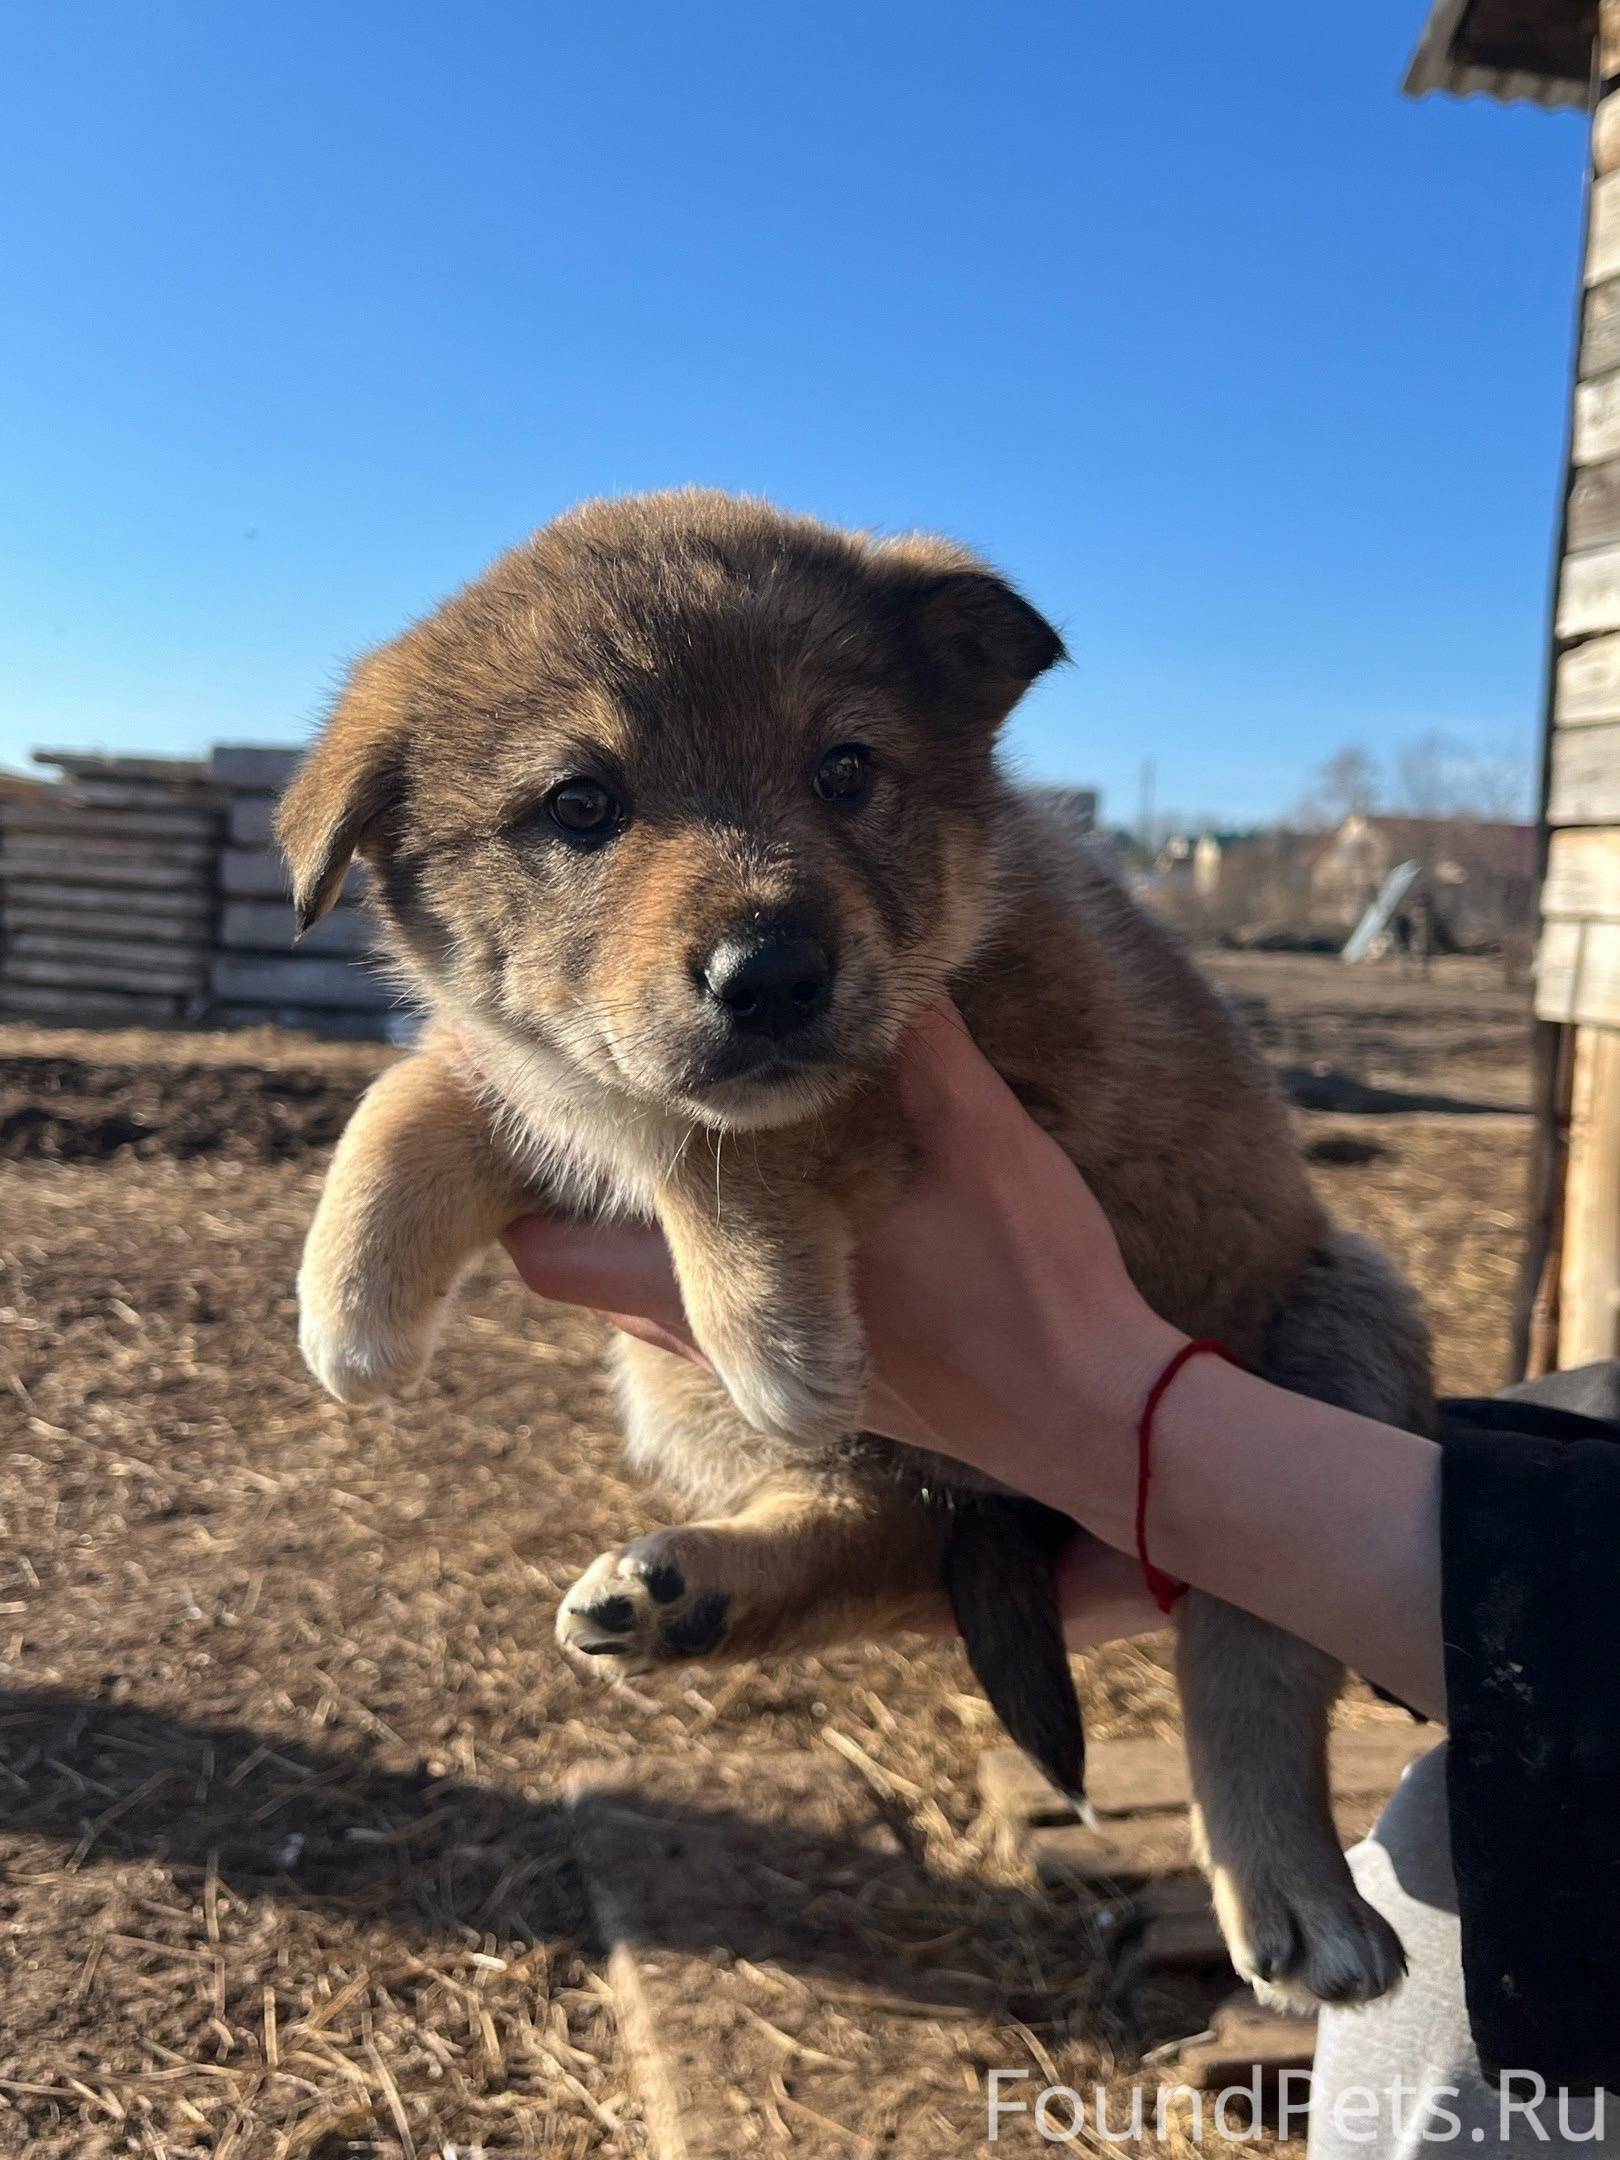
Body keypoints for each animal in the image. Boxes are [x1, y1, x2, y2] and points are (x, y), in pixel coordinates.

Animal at [282, 490, 1434, 2004]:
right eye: (581, 805)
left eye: (844, 770)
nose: (771, 974)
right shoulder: (551, 1086)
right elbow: (431, 1082)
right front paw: (348, 1297)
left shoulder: (1000, 1055)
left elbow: (743, 1131)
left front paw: (770, 1323)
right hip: (679, 1398)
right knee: (890, 1534)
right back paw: (686, 1594)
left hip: (1340, 1315)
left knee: (1251, 1648)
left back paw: (1295, 1893)